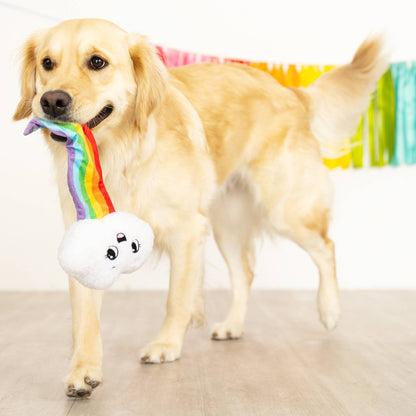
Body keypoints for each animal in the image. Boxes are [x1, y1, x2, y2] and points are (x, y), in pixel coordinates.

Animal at [13, 18, 390, 396]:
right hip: (227, 225)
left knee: (327, 247)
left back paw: (329, 310)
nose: (52, 100)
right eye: (47, 63)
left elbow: (176, 297)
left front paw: (166, 344)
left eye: (96, 62)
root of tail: (289, 91)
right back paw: (233, 325)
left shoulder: (187, 230)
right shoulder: (85, 239)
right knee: (245, 274)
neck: (120, 156)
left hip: (285, 209)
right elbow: (85, 318)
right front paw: (83, 370)